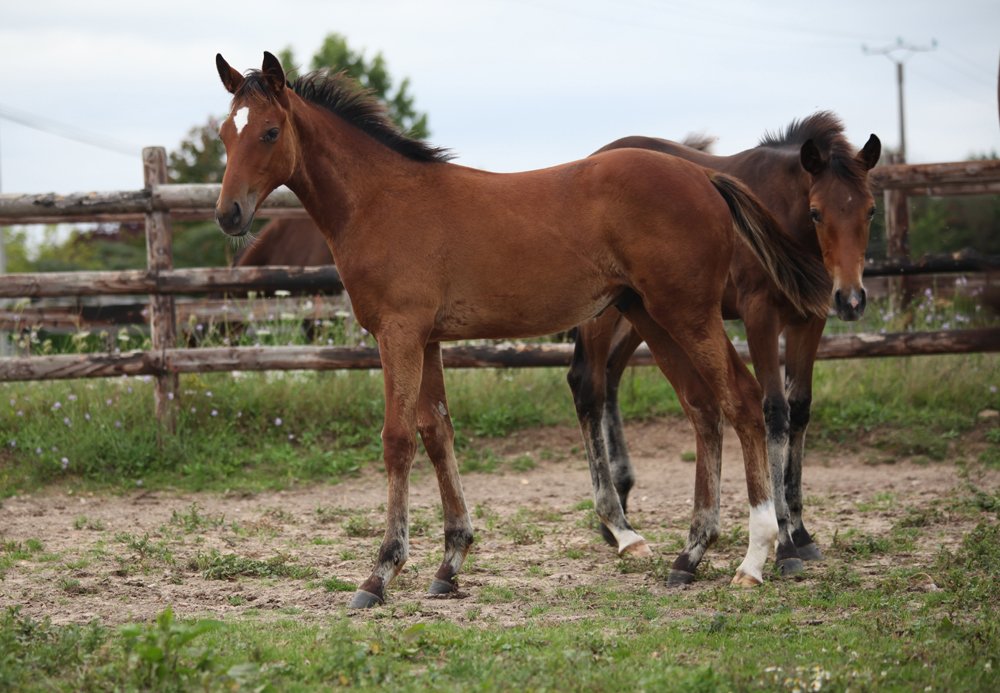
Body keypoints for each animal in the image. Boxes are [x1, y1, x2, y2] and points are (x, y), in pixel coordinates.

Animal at [213, 51, 831, 608]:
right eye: (224, 134)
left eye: (269, 132)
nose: (228, 214)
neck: (381, 201)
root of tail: (704, 174)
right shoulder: (428, 340)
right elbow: (438, 433)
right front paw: (450, 563)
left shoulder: (399, 334)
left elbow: (398, 440)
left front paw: (381, 573)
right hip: (651, 315)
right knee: (703, 408)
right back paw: (689, 555)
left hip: (688, 313)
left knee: (743, 400)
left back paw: (755, 559)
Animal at [568, 117, 881, 584]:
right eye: (816, 211)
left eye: (871, 210)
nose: (852, 299)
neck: (781, 211)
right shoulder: (759, 314)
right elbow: (774, 412)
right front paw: (784, 544)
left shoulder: (810, 319)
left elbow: (800, 409)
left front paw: (801, 532)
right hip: (606, 313)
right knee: (587, 383)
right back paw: (617, 519)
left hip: (647, 312)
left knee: (610, 377)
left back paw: (619, 514)